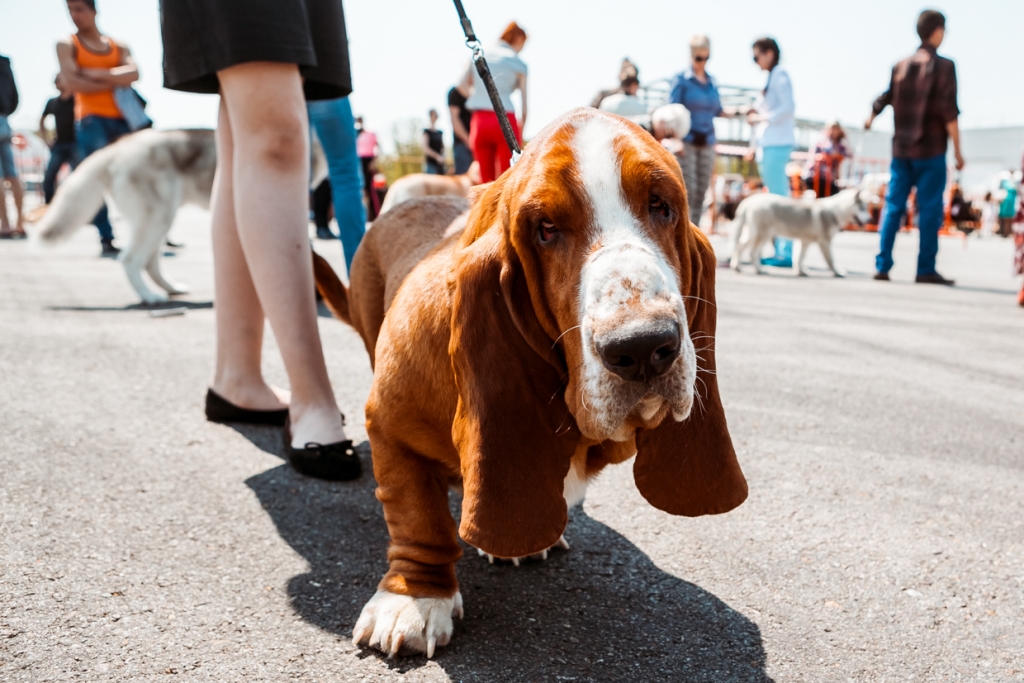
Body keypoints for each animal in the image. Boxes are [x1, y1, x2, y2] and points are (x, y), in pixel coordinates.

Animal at [309, 109, 745, 659]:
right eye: (546, 229)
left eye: (661, 206)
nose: (644, 347)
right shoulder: (390, 425)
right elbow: (417, 517)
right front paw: (413, 598)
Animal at [729, 187, 872, 278]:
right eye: (862, 208)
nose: (870, 219)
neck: (835, 211)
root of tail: (748, 201)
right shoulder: (825, 242)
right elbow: (830, 260)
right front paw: (837, 272)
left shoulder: (804, 241)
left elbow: (799, 258)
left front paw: (800, 272)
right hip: (762, 234)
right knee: (751, 252)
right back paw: (758, 270)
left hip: (755, 234)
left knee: (740, 246)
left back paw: (737, 266)